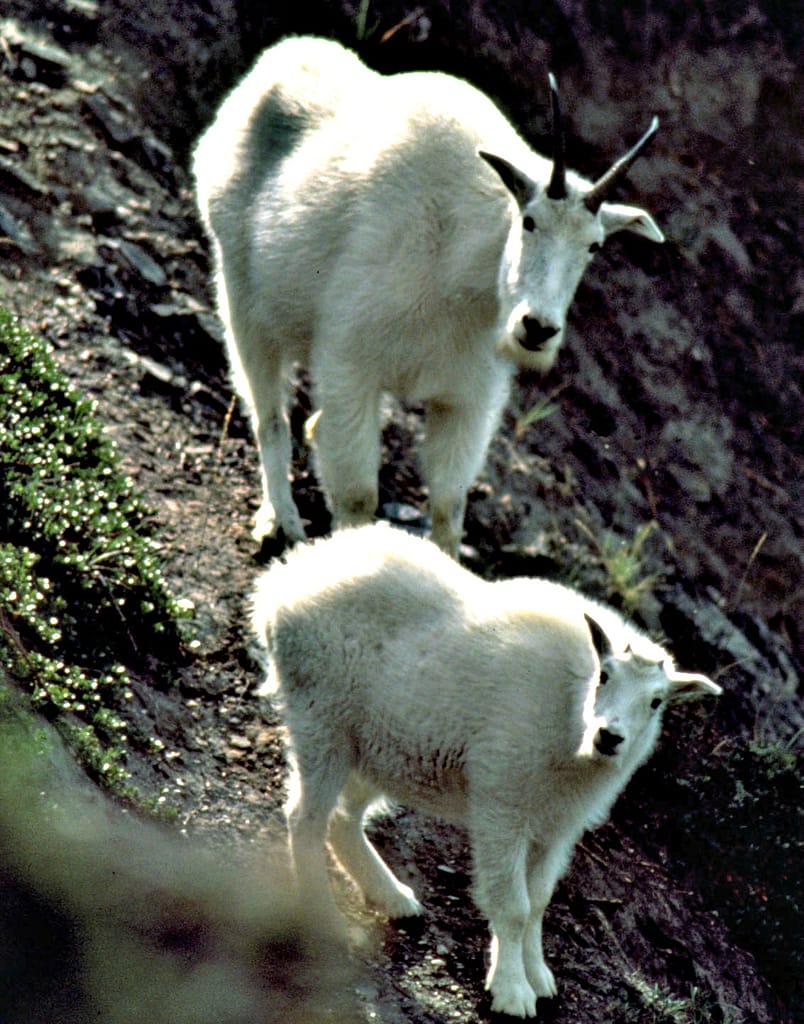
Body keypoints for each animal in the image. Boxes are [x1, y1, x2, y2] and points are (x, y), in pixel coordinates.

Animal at [194, 36, 664, 554]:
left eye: (594, 245)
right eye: (529, 221)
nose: (537, 328)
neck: (461, 273)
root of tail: (275, 62)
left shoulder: (467, 397)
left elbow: (448, 508)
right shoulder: (349, 362)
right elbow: (359, 495)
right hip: (240, 294)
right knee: (268, 416)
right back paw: (280, 520)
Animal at [252, 523, 721, 1019]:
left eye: (656, 702)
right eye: (605, 676)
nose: (608, 737)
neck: (569, 721)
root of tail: (283, 584)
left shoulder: (556, 827)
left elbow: (538, 901)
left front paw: (538, 977)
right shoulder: (503, 804)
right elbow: (513, 905)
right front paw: (513, 991)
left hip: (376, 749)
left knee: (343, 818)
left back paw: (394, 897)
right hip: (322, 720)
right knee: (306, 817)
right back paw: (326, 917)